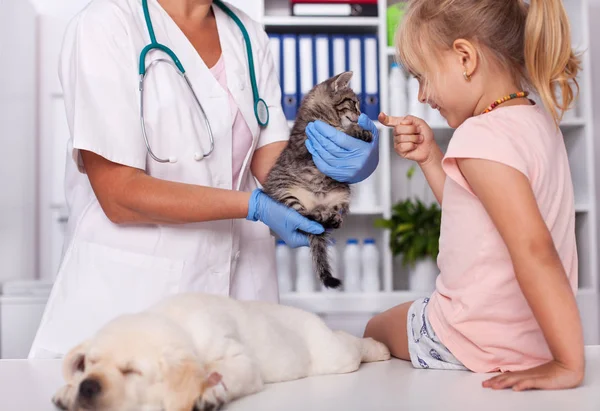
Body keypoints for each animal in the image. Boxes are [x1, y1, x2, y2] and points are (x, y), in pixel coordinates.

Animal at [50, 294, 390, 410]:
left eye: (131, 371)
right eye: (89, 365)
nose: (87, 387)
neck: (177, 319)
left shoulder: (241, 360)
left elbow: (226, 371)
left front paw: (210, 392)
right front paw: (68, 390)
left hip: (332, 355)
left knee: (350, 343)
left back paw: (379, 347)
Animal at [264, 71, 372, 290]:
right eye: (353, 103)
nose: (360, 113)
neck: (324, 116)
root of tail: (317, 204)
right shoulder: (305, 143)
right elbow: (345, 132)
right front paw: (361, 131)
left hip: (342, 195)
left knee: (329, 219)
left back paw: (331, 217)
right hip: (286, 192)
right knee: (305, 218)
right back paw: (319, 217)